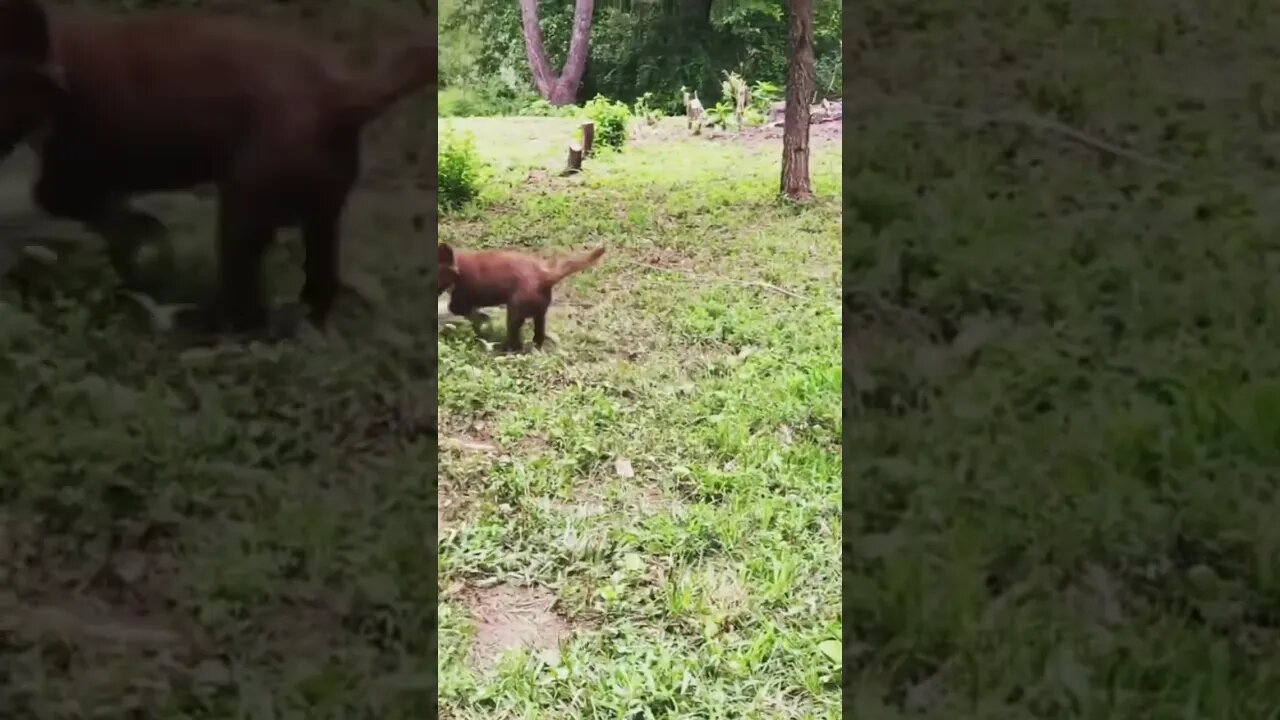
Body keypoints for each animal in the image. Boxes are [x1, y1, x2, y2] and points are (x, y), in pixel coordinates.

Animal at [0, 0, 432, 330]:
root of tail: (339, 96)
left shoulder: (72, 172)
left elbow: (94, 209)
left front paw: (141, 239)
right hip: (321, 214)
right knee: (318, 284)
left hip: (246, 205)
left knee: (244, 303)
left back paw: (194, 325)